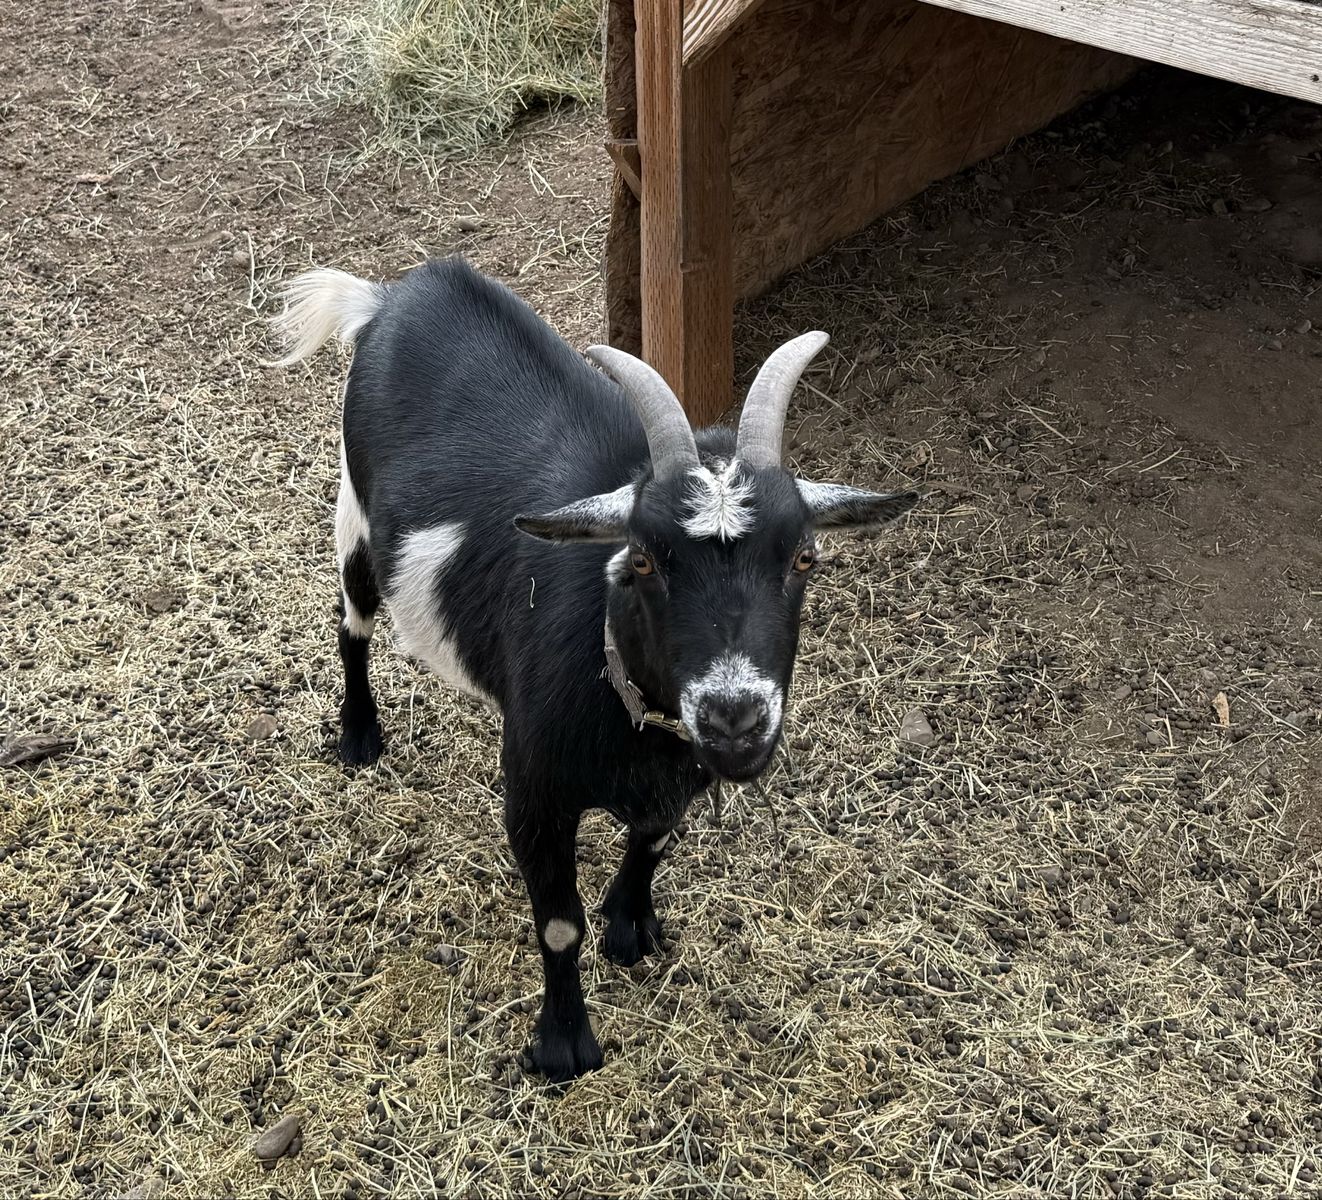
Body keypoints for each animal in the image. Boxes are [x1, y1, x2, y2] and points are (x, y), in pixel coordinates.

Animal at [271, 257, 918, 1081]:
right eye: (641, 559)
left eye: (805, 556)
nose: (734, 720)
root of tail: (393, 296)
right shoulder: (536, 794)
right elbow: (557, 926)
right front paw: (563, 1046)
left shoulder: (677, 774)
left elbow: (654, 840)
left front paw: (631, 926)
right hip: (353, 509)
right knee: (350, 622)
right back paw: (358, 736)